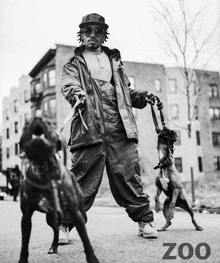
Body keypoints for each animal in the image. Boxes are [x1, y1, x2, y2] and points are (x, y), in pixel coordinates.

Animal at [18, 117, 99, 263]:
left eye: (49, 123)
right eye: (27, 123)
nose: (37, 118)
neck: (43, 170)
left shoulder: (75, 214)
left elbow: (85, 239)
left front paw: (92, 258)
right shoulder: (26, 216)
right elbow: (24, 244)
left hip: (81, 214)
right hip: (50, 218)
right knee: (56, 229)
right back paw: (54, 246)